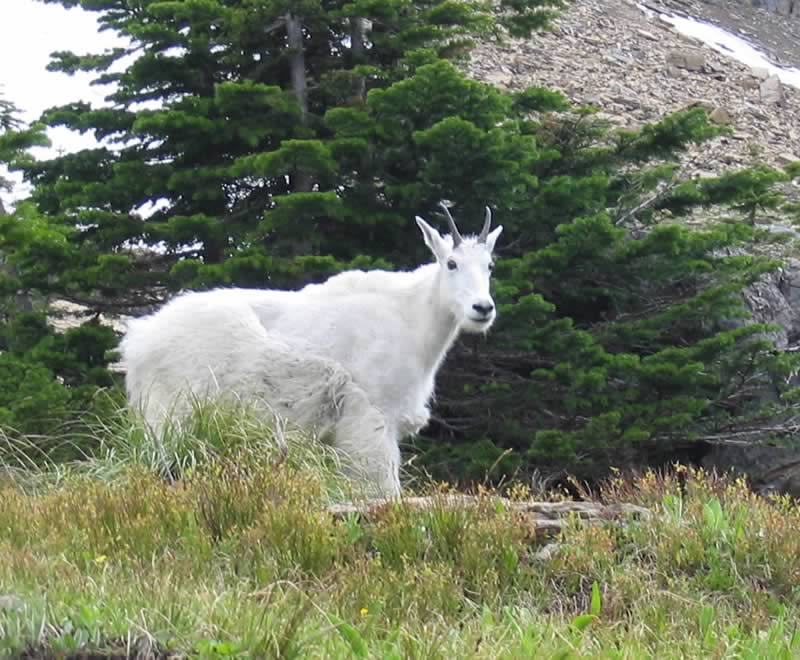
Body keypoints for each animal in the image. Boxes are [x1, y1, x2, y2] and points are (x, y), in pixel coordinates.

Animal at [120, 205, 500, 496]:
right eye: (451, 263)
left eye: (490, 266)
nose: (482, 308)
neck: (413, 318)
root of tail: (137, 342)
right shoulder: (371, 417)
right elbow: (385, 488)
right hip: (171, 412)